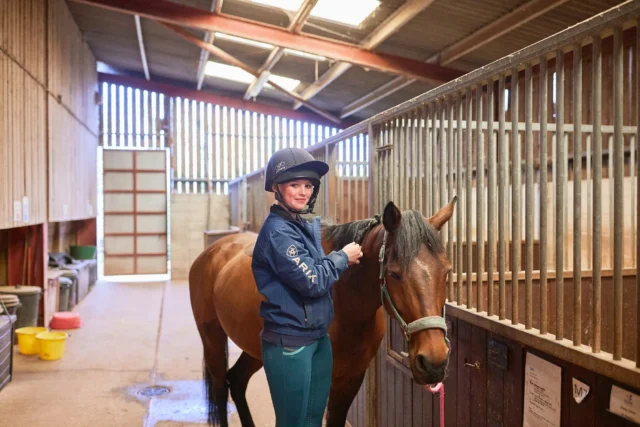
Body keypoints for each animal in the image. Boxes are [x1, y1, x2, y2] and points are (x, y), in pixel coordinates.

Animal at [188, 198, 456, 427]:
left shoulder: (351, 378)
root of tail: (213, 251)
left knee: (237, 380)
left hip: (255, 349)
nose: (434, 361)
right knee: (220, 386)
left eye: (447, 271)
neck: (345, 304)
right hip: (212, 339)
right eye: (394, 274)